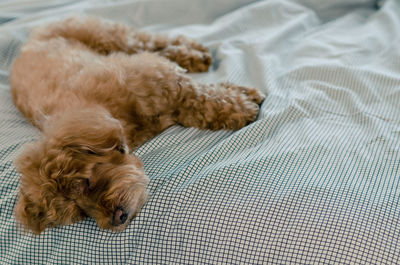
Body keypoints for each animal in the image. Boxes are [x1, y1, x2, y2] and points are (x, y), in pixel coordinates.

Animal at [10, 15, 266, 233]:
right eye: (80, 211)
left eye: (85, 183)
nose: (116, 219)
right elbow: (197, 107)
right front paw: (241, 96)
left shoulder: (159, 78)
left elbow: (201, 96)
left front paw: (240, 105)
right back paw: (193, 56)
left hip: (110, 37)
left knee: (151, 42)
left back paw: (194, 52)